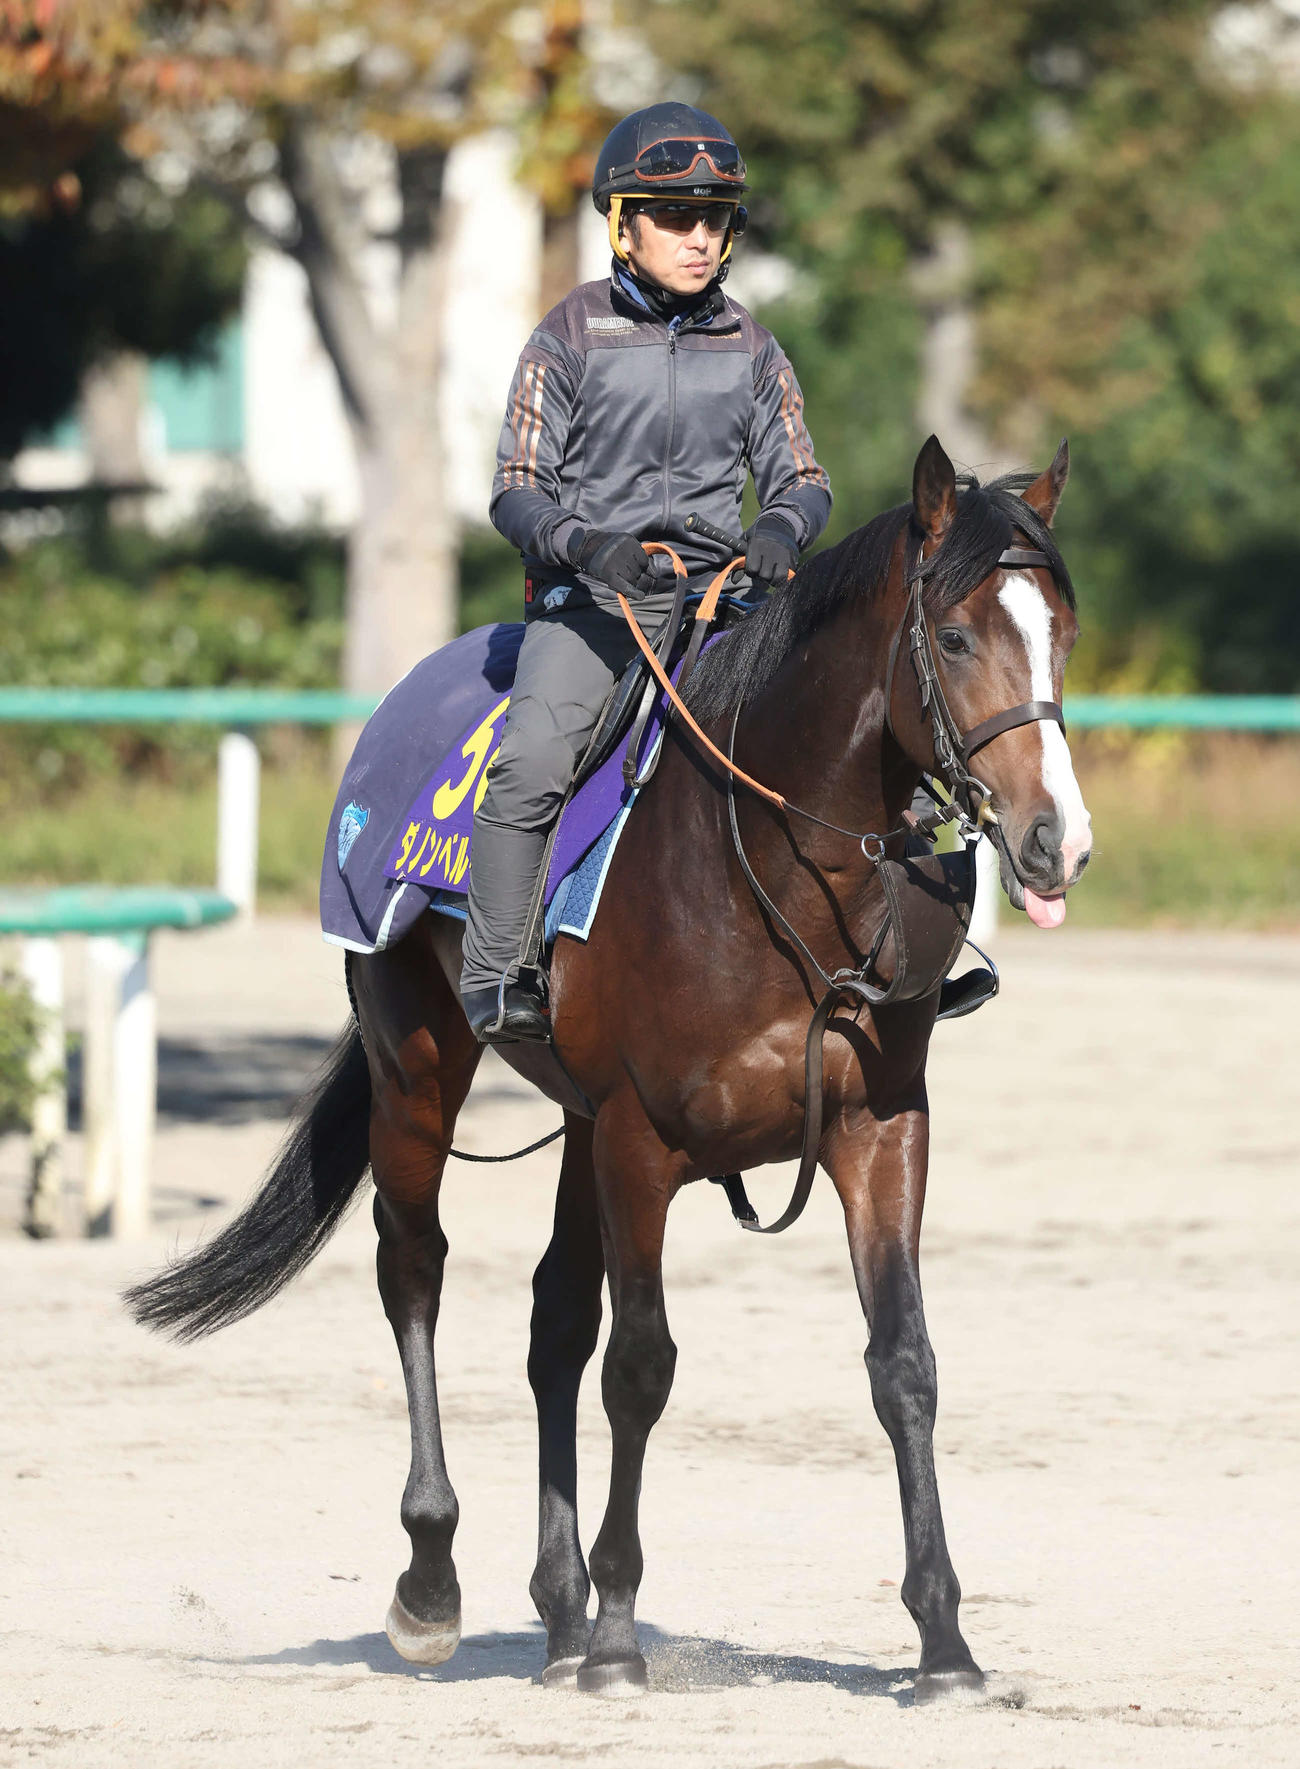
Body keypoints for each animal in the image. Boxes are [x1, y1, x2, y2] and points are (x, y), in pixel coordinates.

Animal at [126, 434, 1092, 1700]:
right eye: (957, 635)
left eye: (1060, 629)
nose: (1055, 840)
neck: (776, 870)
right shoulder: (642, 1138)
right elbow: (639, 1364)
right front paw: (624, 1632)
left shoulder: (878, 1131)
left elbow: (904, 1362)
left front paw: (942, 1642)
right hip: (418, 1074)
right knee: (414, 1272)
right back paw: (434, 1581)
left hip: (573, 1122)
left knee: (551, 1323)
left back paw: (557, 1610)